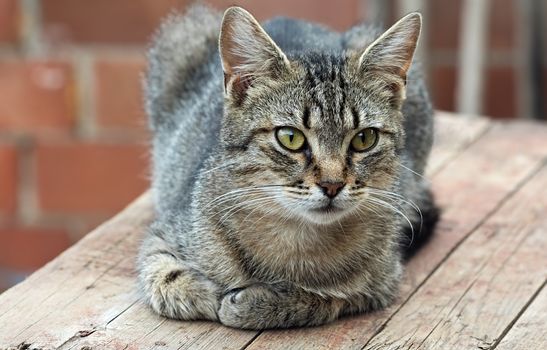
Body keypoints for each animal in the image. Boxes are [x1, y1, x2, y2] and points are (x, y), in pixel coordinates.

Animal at [139, 4, 438, 330]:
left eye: (364, 139)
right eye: (290, 137)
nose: (332, 184)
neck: (299, 237)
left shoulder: (385, 282)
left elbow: (330, 298)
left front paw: (261, 303)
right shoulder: (161, 234)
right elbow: (165, 277)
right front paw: (208, 292)